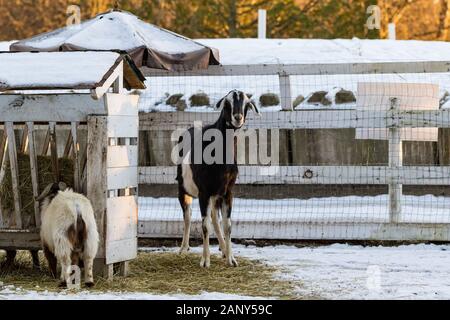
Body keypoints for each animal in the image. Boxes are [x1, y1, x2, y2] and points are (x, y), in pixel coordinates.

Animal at [176, 89, 260, 268]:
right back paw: (183, 248)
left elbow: (227, 225)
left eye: (246, 104)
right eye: (227, 103)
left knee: (215, 218)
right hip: (183, 188)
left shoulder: (227, 191)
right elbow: (204, 225)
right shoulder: (204, 192)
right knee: (188, 216)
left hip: (216, 195)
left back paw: (223, 249)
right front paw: (205, 261)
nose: (237, 117)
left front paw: (231, 259)